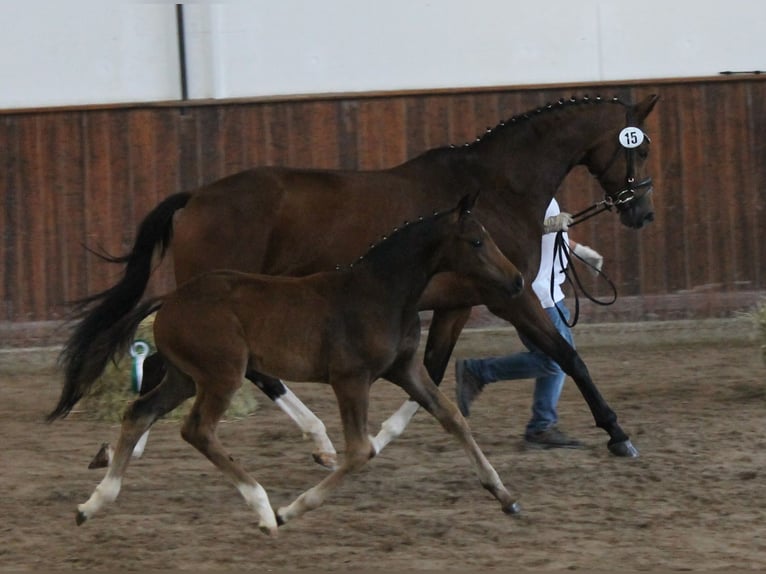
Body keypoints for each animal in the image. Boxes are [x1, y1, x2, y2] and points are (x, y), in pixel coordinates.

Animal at [50, 94, 659, 468]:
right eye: (640, 145)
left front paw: (388, 436)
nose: (642, 213)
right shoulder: (507, 296)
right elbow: (566, 354)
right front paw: (618, 434)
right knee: (187, 368)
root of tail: (196, 197)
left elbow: (432, 368)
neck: (496, 188)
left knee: (190, 369)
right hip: (215, 304)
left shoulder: (457, 304)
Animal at [73, 194, 525, 533]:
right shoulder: (350, 379)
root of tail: (170, 300)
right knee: (197, 429)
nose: (518, 280)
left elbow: (453, 418)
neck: (381, 293)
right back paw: (262, 508)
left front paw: (505, 496)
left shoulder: (407, 370)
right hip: (222, 375)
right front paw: (291, 509)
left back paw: (93, 504)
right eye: (477, 241)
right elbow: (359, 452)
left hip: (184, 377)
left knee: (139, 411)